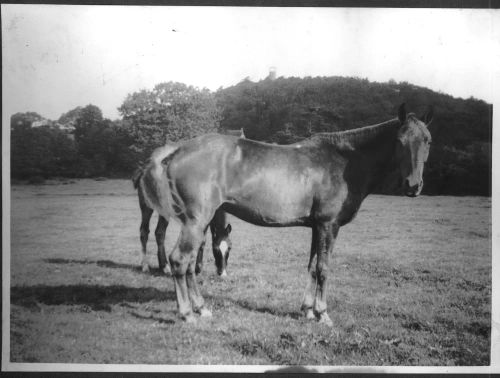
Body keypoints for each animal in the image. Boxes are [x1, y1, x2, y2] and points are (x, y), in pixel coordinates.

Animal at [139, 104, 432, 324]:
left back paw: (201, 308)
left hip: (198, 222)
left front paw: (307, 310)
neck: (344, 161)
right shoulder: (329, 225)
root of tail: (176, 152)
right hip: (196, 220)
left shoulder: (316, 227)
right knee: (180, 260)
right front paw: (323, 314)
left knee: (189, 263)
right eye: (400, 141)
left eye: (427, 140)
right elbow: (324, 268)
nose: (413, 186)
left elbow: (312, 267)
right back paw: (187, 313)